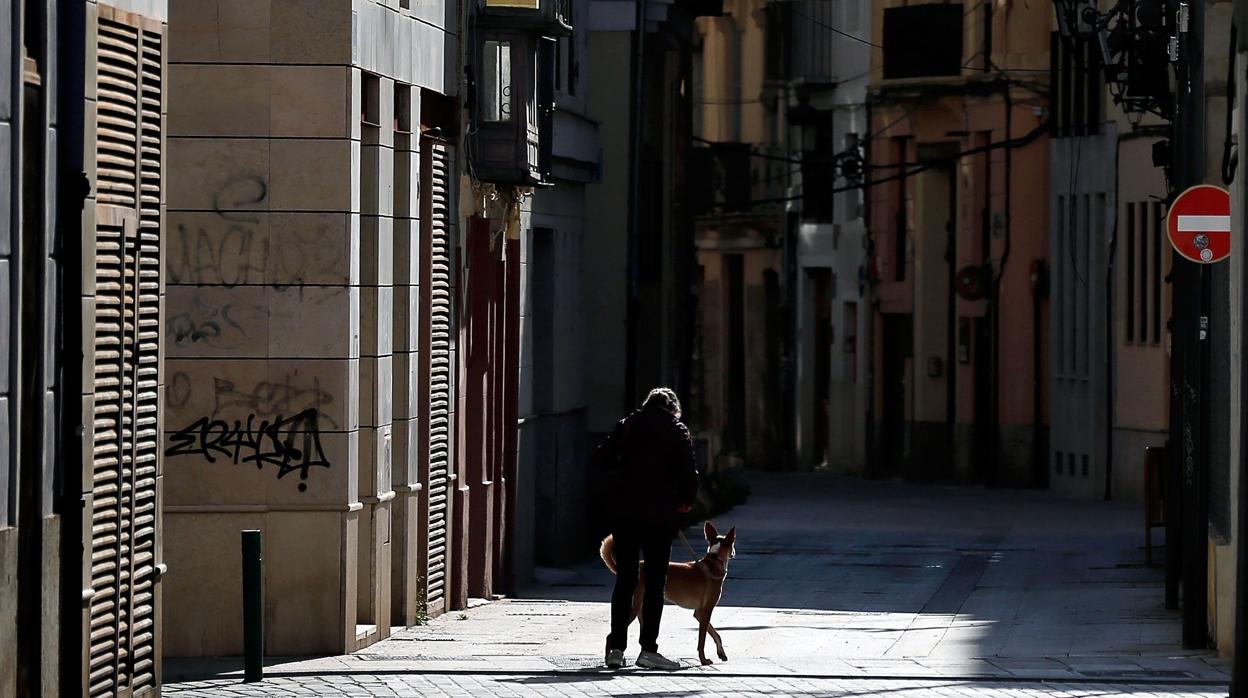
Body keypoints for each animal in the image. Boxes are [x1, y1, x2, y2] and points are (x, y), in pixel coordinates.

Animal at [599, 524, 733, 664]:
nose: (733, 553)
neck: (714, 561)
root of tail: (639, 566)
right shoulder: (706, 612)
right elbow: (702, 641)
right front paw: (703, 660)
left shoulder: (699, 613)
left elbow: (715, 633)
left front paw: (721, 652)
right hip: (635, 609)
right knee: (610, 636)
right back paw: (610, 659)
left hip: (642, 611)